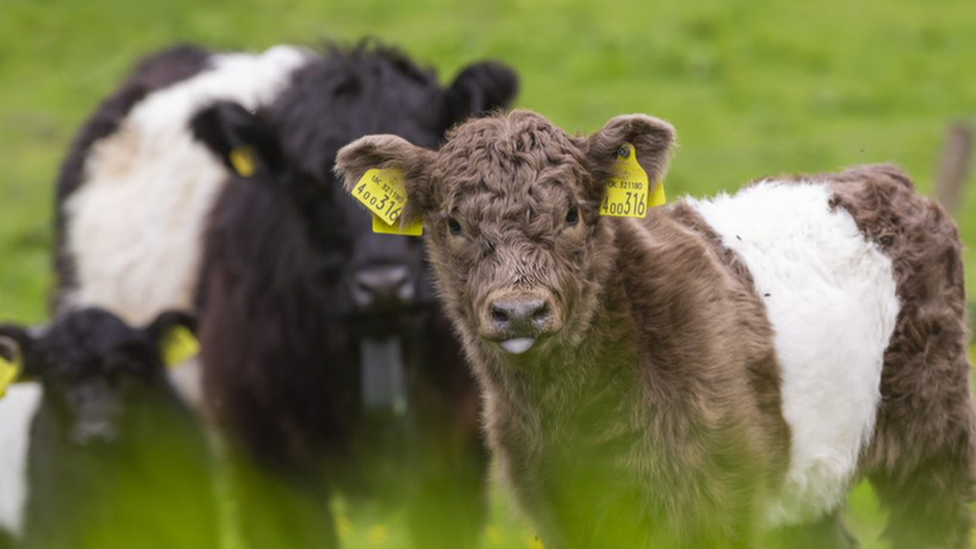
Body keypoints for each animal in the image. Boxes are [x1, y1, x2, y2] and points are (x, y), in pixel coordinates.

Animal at [338, 109, 976, 544]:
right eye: (454, 224)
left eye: (573, 213)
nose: (520, 311)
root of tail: (886, 180)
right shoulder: (559, 508)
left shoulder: (713, 502)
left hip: (937, 443)